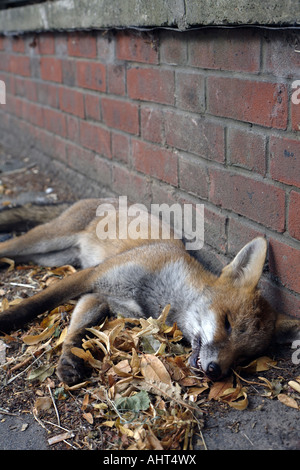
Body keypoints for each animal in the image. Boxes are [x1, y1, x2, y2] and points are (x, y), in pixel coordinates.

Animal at [0, 198, 300, 386]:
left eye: (244, 355)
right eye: (226, 323)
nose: (216, 371)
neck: (155, 298)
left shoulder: (100, 297)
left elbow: (77, 332)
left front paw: (69, 363)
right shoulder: (94, 275)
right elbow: (36, 303)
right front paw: (7, 319)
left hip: (50, 257)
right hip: (45, 241)